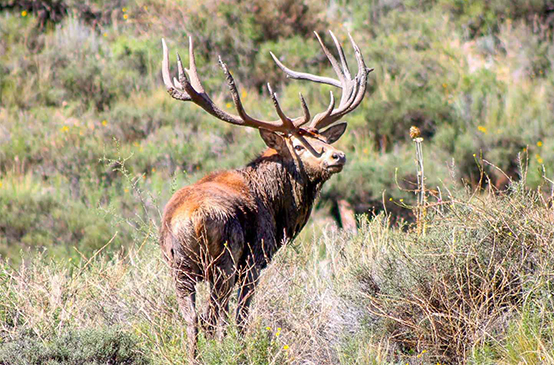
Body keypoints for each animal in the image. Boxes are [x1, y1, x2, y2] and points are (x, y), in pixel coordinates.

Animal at [157, 30, 368, 358]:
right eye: (298, 146)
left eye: (323, 139)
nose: (338, 156)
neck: (276, 207)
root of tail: (194, 220)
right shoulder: (256, 259)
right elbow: (241, 317)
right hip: (225, 261)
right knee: (213, 316)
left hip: (179, 267)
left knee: (192, 320)